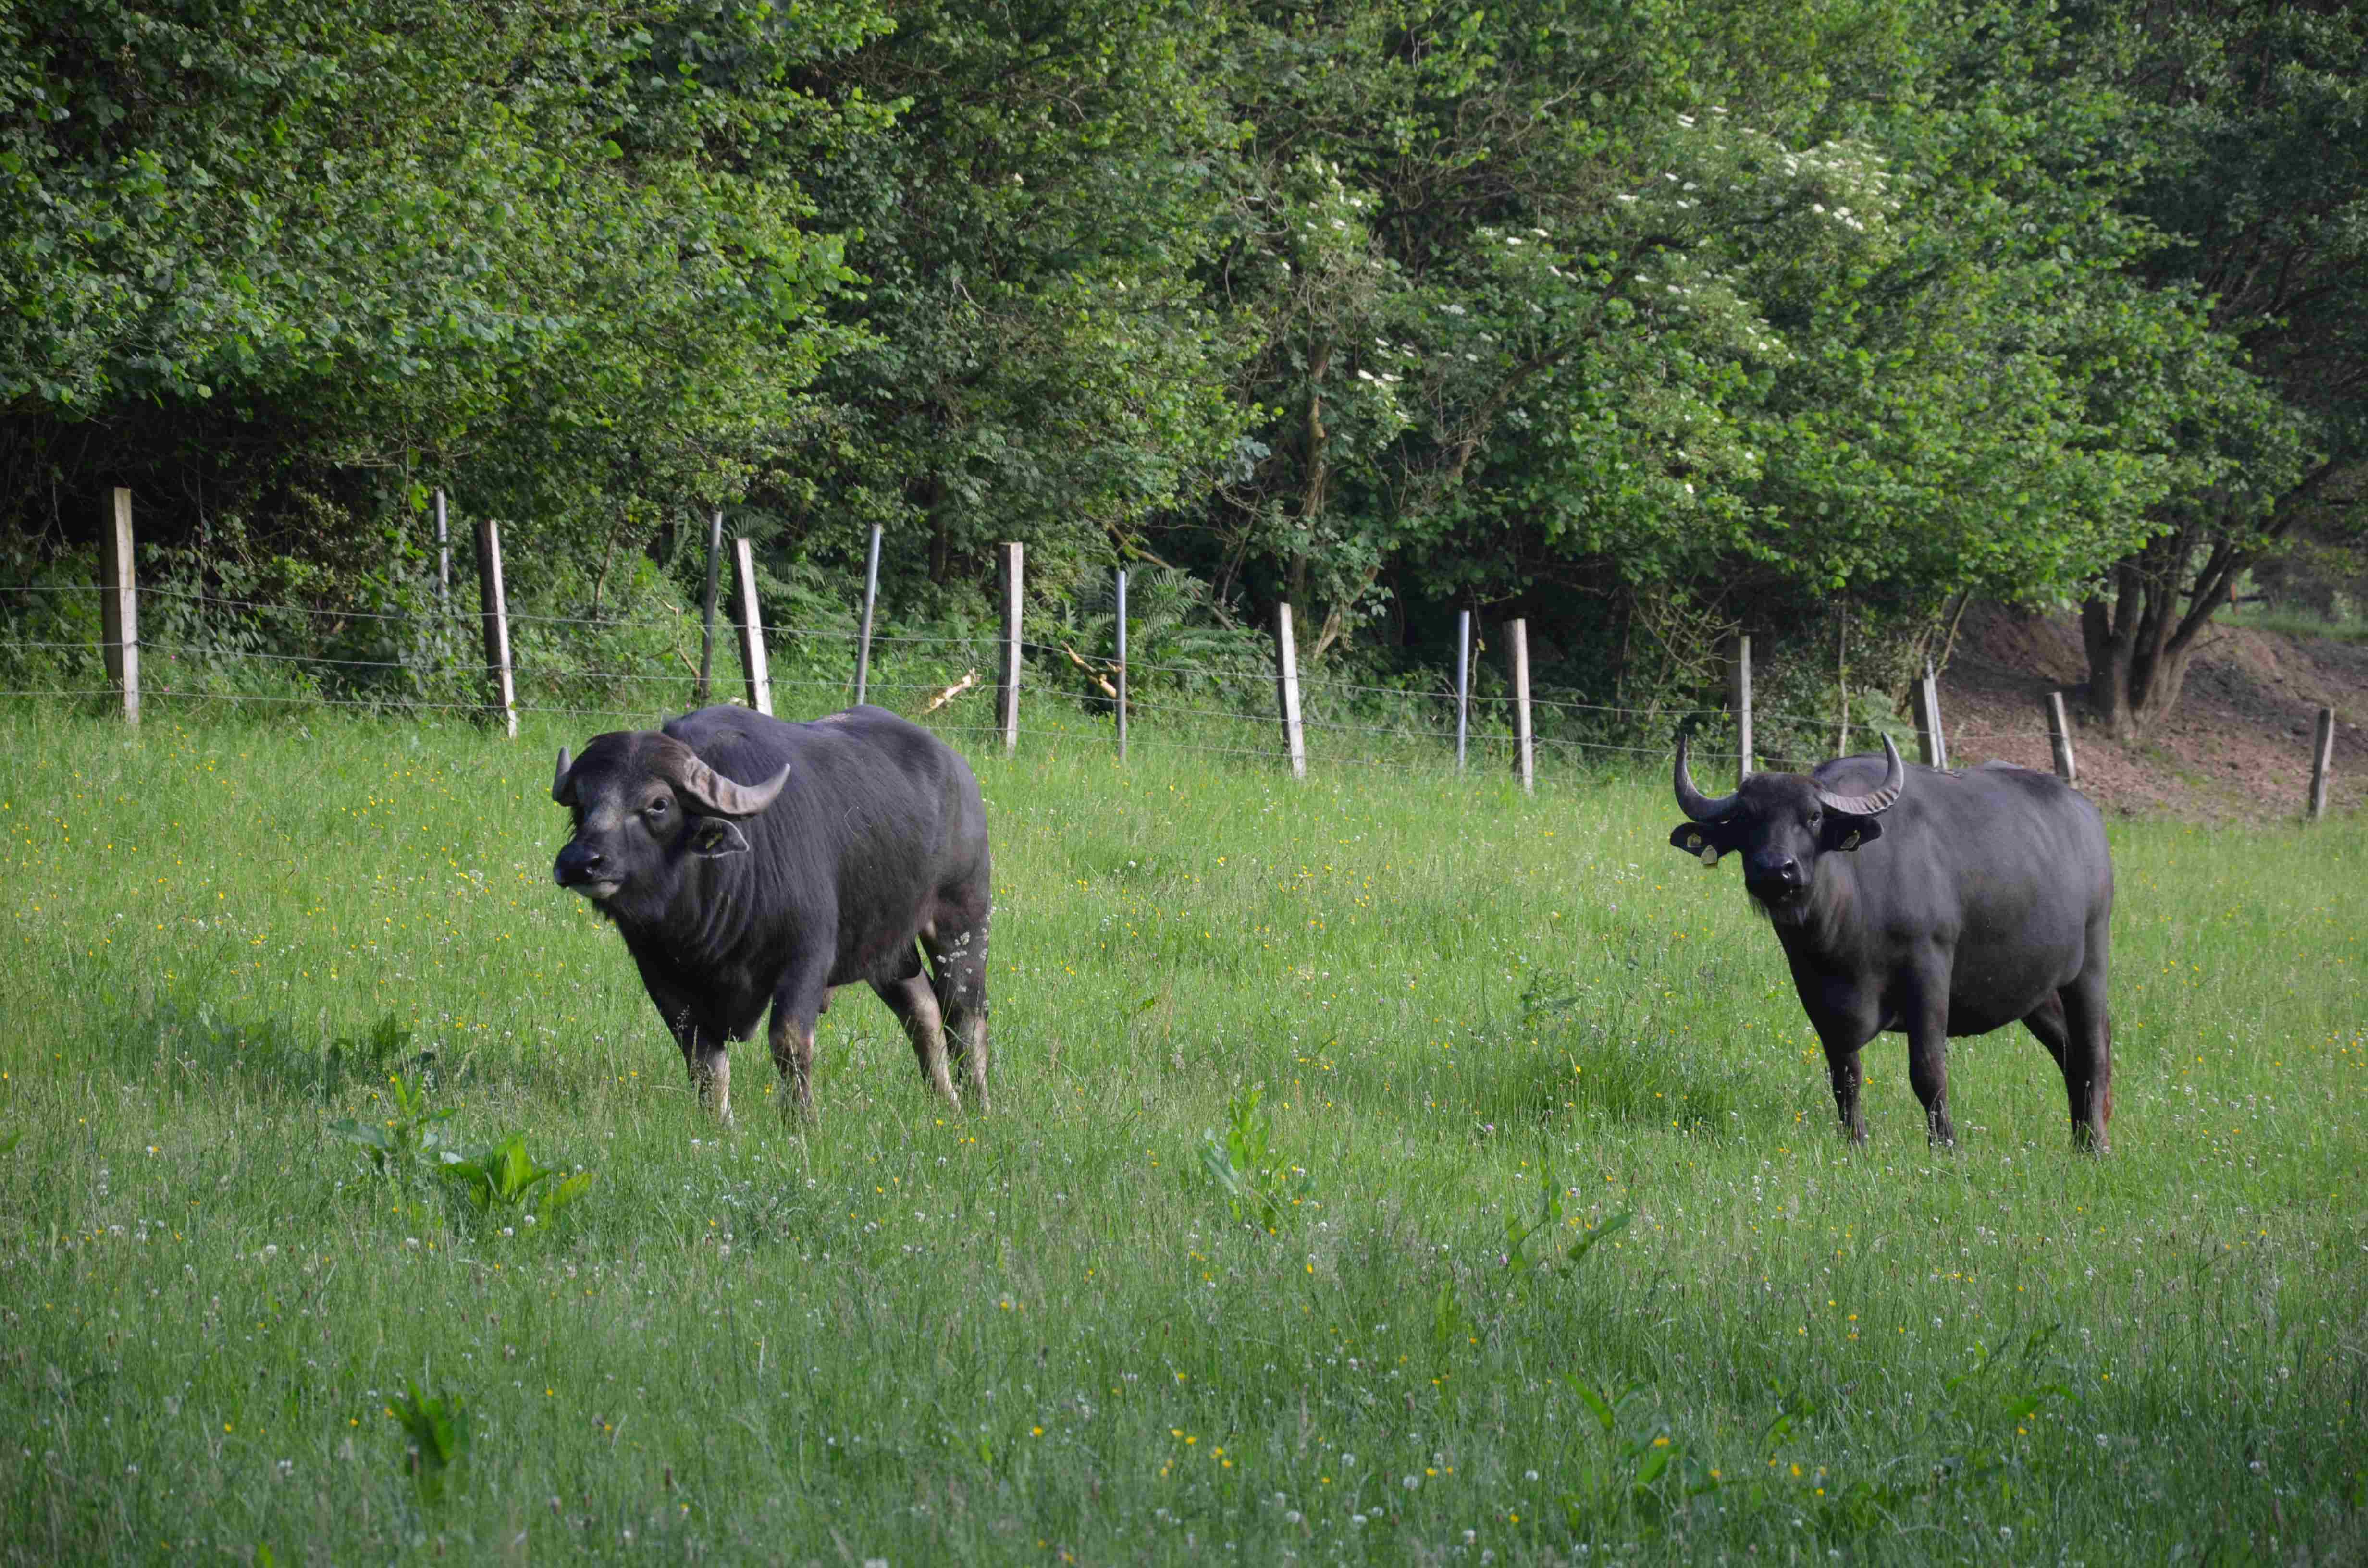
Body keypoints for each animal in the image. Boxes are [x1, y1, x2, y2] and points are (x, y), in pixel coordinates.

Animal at [552, 706, 989, 1123]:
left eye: (658, 804)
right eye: (582, 806)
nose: (579, 863)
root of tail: (957, 770)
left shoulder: (806, 960)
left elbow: (790, 1043)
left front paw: (801, 1121)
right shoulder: (658, 973)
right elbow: (703, 1060)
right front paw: (719, 1124)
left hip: (963, 921)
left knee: (965, 1015)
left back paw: (978, 1103)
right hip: (889, 951)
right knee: (923, 1011)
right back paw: (946, 1101)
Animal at [1677, 739, 2121, 1156]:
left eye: (1813, 816)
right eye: (1746, 818)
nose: (1776, 870)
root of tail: (2087, 815)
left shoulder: (1928, 973)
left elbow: (1928, 1071)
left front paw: (1945, 1146)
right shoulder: (1817, 994)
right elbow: (1845, 1076)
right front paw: (1855, 1143)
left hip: (2091, 965)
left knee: (2094, 1049)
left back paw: (2097, 1146)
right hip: (2038, 990)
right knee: (2068, 1052)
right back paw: (2080, 1139)